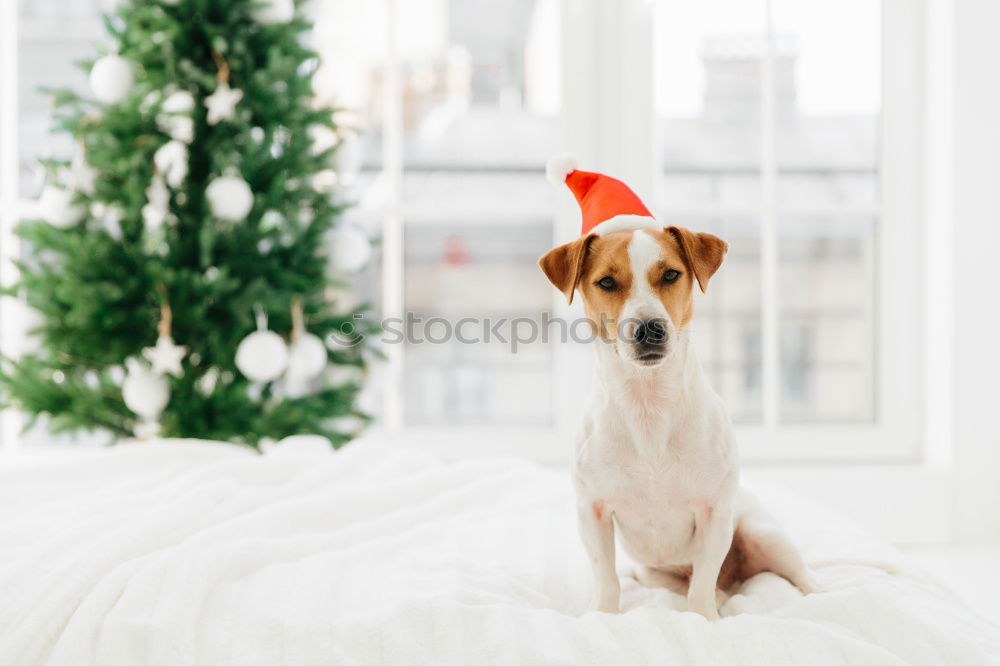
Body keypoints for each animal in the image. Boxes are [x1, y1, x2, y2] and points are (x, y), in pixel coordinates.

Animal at [540, 157, 812, 616]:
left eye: (670, 274)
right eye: (607, 282)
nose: (649, 328)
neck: (648, 403)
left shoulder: (714, 513)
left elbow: (701, 583)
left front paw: (702, 619)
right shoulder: (592, 512)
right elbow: (606, 576)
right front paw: (603, 614)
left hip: (764, 534)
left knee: (796, 575)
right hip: (653, 572)